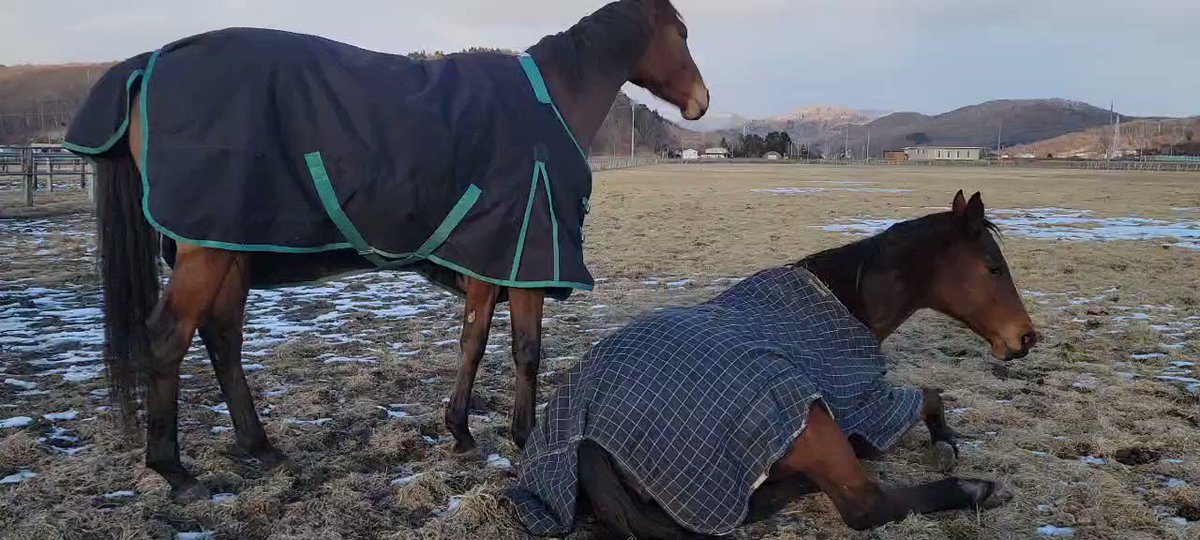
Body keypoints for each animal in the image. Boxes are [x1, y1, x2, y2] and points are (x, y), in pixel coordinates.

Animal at [65, 0, 707, 501]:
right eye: (680, 31)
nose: (701, 101)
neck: (550, 103)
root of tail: (148, 62)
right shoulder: (523, 256)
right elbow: (522, 350)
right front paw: (517, 438)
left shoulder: (489, 263)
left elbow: (476, 342)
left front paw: (462, 431)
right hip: (207, 250)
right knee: (169, 337)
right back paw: (174, 471)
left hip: (230, 246)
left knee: (222, 336)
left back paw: (260, 446)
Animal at [510, 191, 1038, 539]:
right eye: (994, 268)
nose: (1025, 339)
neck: (846, 299)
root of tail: (588, 436)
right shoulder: (864, 399)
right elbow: (931, 396)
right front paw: (947, 442)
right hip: (803, 410)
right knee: (867, 504)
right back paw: (976, 489)